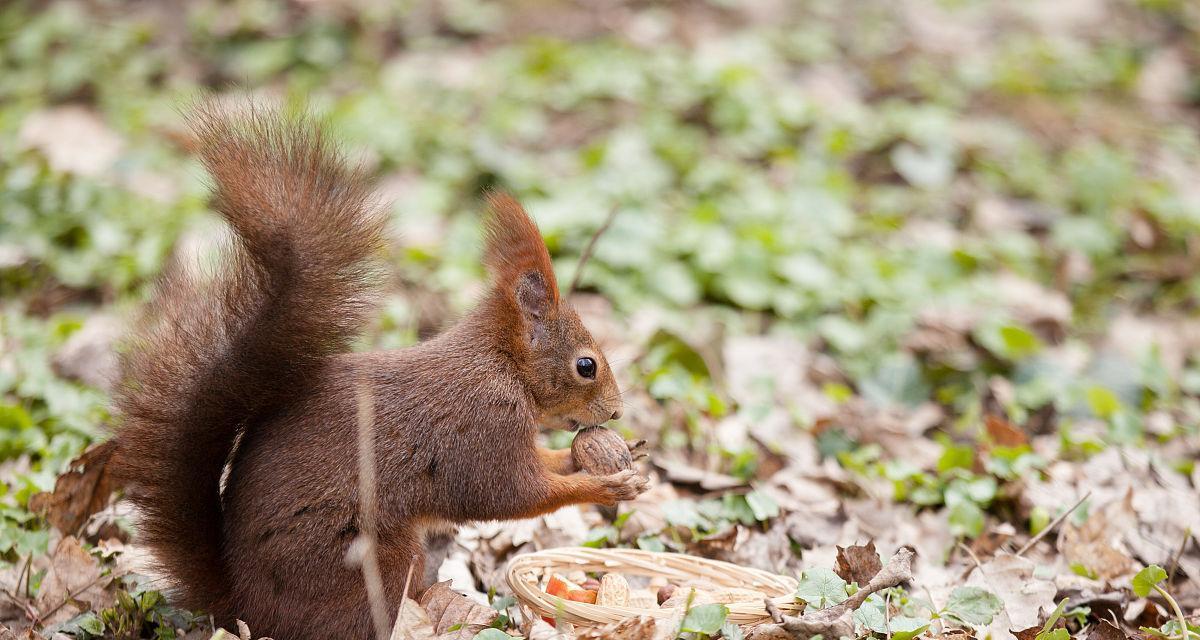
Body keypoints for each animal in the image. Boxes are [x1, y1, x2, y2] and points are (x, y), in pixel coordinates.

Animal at [110, 109, 648, 638]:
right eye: (586, 366)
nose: (617, 412)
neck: (502, 366)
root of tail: (242, 606)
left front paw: (585, 457)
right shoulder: (481, 428)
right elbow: (509, 495)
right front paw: (606, 487)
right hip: (369, 559)